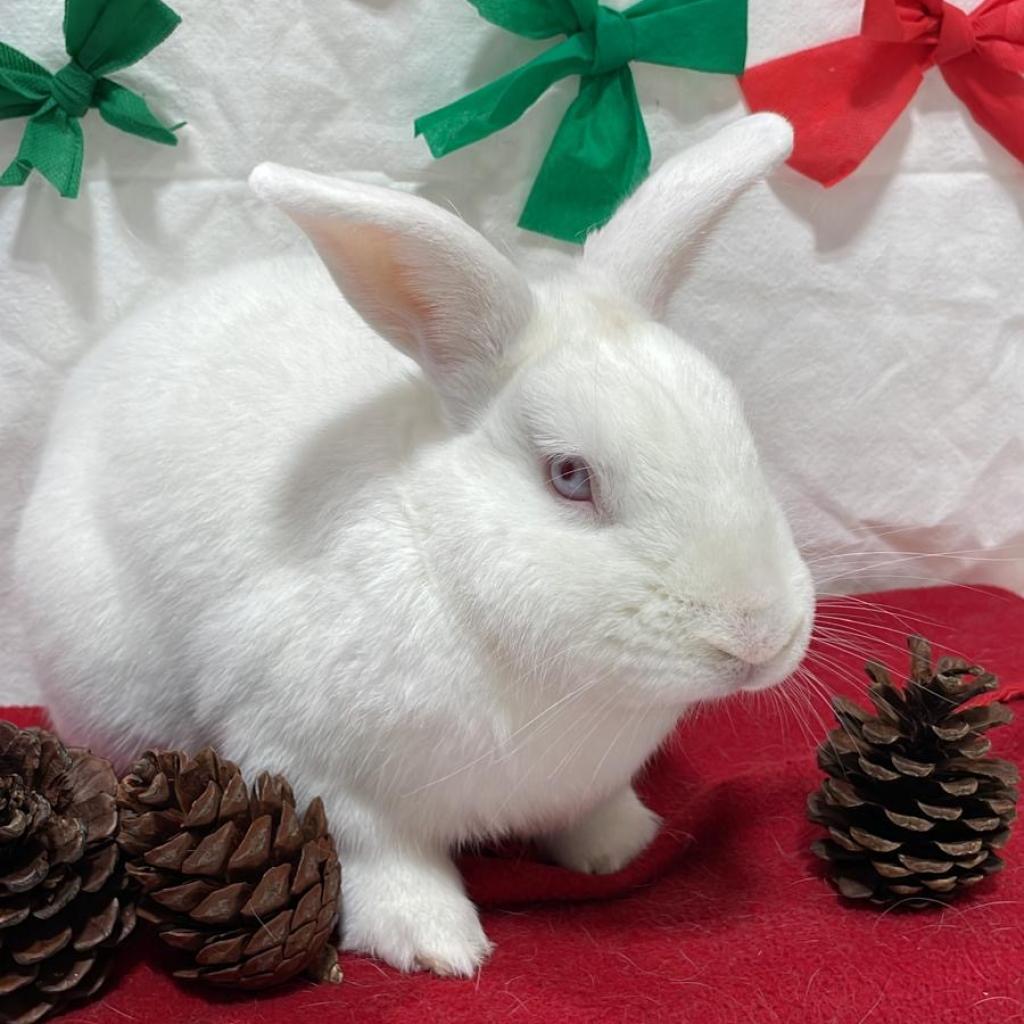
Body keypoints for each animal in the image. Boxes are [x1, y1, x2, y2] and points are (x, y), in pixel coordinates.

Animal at [15, 112, 814, 977]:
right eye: (570, 476)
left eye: (739, 430)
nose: (758, 637)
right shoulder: (313, 764)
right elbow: (385, 860)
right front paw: (436, 945)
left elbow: (593, 814)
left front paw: (621, 848)